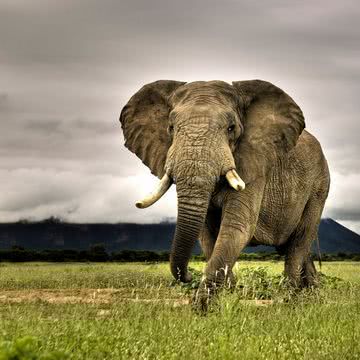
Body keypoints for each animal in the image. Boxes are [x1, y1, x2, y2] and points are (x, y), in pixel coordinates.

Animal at [119, 79, 330, 306]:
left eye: (231, 128)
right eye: (171, 128)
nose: (188, 276)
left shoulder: (254, 165)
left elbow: (236, 227)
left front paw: (204, 307)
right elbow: (207, 234)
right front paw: (227, 295)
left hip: (319, 186)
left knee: (299, 240)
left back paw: (291, 300)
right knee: (296, 246)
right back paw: (311, 296)